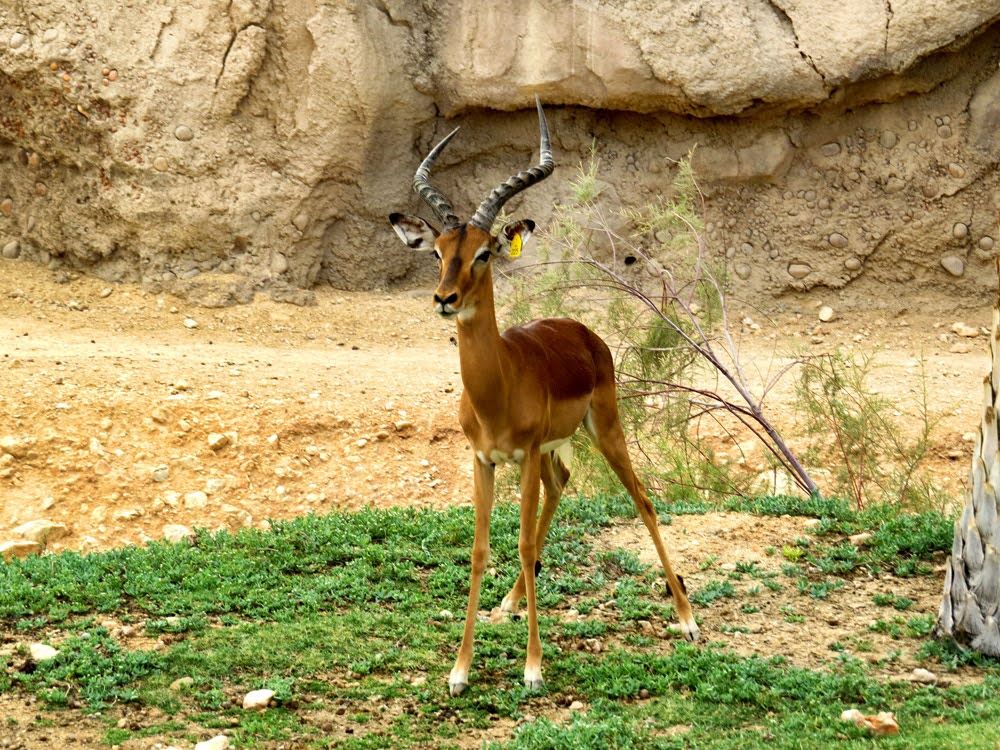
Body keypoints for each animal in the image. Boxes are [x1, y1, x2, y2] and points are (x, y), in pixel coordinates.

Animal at [386, 97, 700, 696]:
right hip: (556, 449)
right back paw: (508, 604)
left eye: (485, 253)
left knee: (643, 500)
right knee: (563, 486)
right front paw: (459, 671)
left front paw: (532, 669)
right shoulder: (483, 459)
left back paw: (687, 619)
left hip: (603, 429)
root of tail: (581, 331)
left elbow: (526, 542)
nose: (445, 298)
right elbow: (481, 548)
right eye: (437, 251)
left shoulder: (525, 453)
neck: (497, 388)